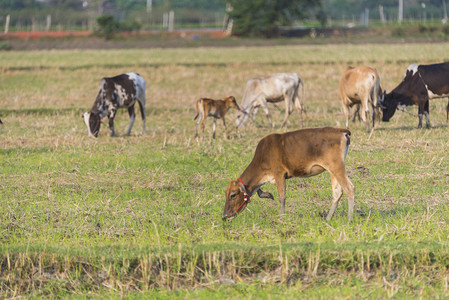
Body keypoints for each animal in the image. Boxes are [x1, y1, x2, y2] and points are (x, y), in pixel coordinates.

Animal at [222, 126, 356, 223]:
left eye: (233, 195)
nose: (224, 216)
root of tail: (341, 130)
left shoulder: (279, 174)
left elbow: (282, 197)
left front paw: (281, 218)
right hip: (332, 171)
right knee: (337, 193)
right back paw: (328, 219)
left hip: (337, 167)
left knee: (349, 188)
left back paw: (349, 220)